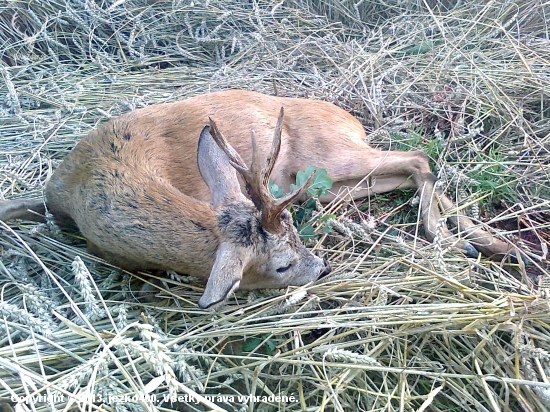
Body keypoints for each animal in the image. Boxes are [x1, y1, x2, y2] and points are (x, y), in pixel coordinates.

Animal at [0, 90, 520, 304]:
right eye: (282, 264)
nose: (324, 270)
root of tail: (349, 117)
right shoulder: (51, 196)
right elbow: (13, 207)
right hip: (326, 182)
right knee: (409, 171)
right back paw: (486, 242)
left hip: (332, 159)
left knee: (418, 157)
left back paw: (464, 242)